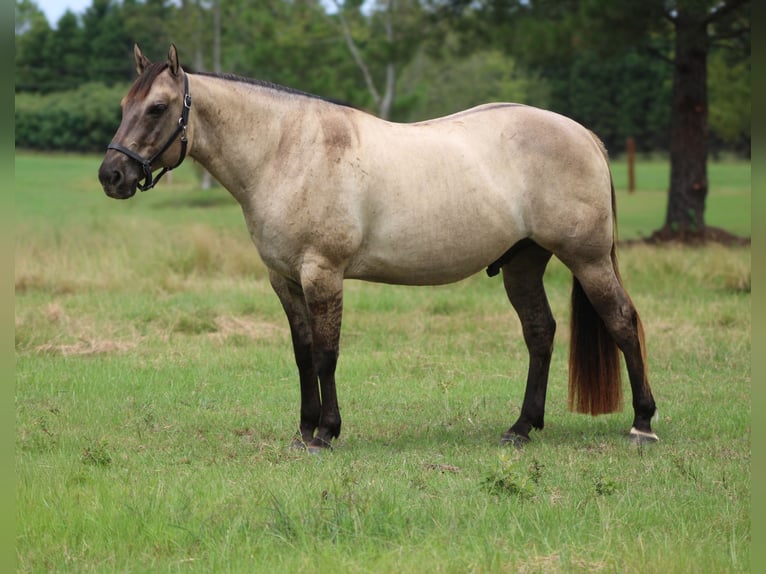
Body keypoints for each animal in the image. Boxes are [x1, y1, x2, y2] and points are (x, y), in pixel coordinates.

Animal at [98, 44, 658, 451]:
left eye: (157, 107)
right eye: (124, 106)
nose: (112, 175)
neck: (287, 151)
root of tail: (584, 135)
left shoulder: (322, 273)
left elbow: (326, 355)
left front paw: (326, 432)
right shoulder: (284, 280)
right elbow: (302, 354)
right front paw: (303, 430)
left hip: (587, 259)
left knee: (622, 323)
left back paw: (643, 424)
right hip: (524, 264)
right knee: (540, 333)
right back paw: (521, 428)